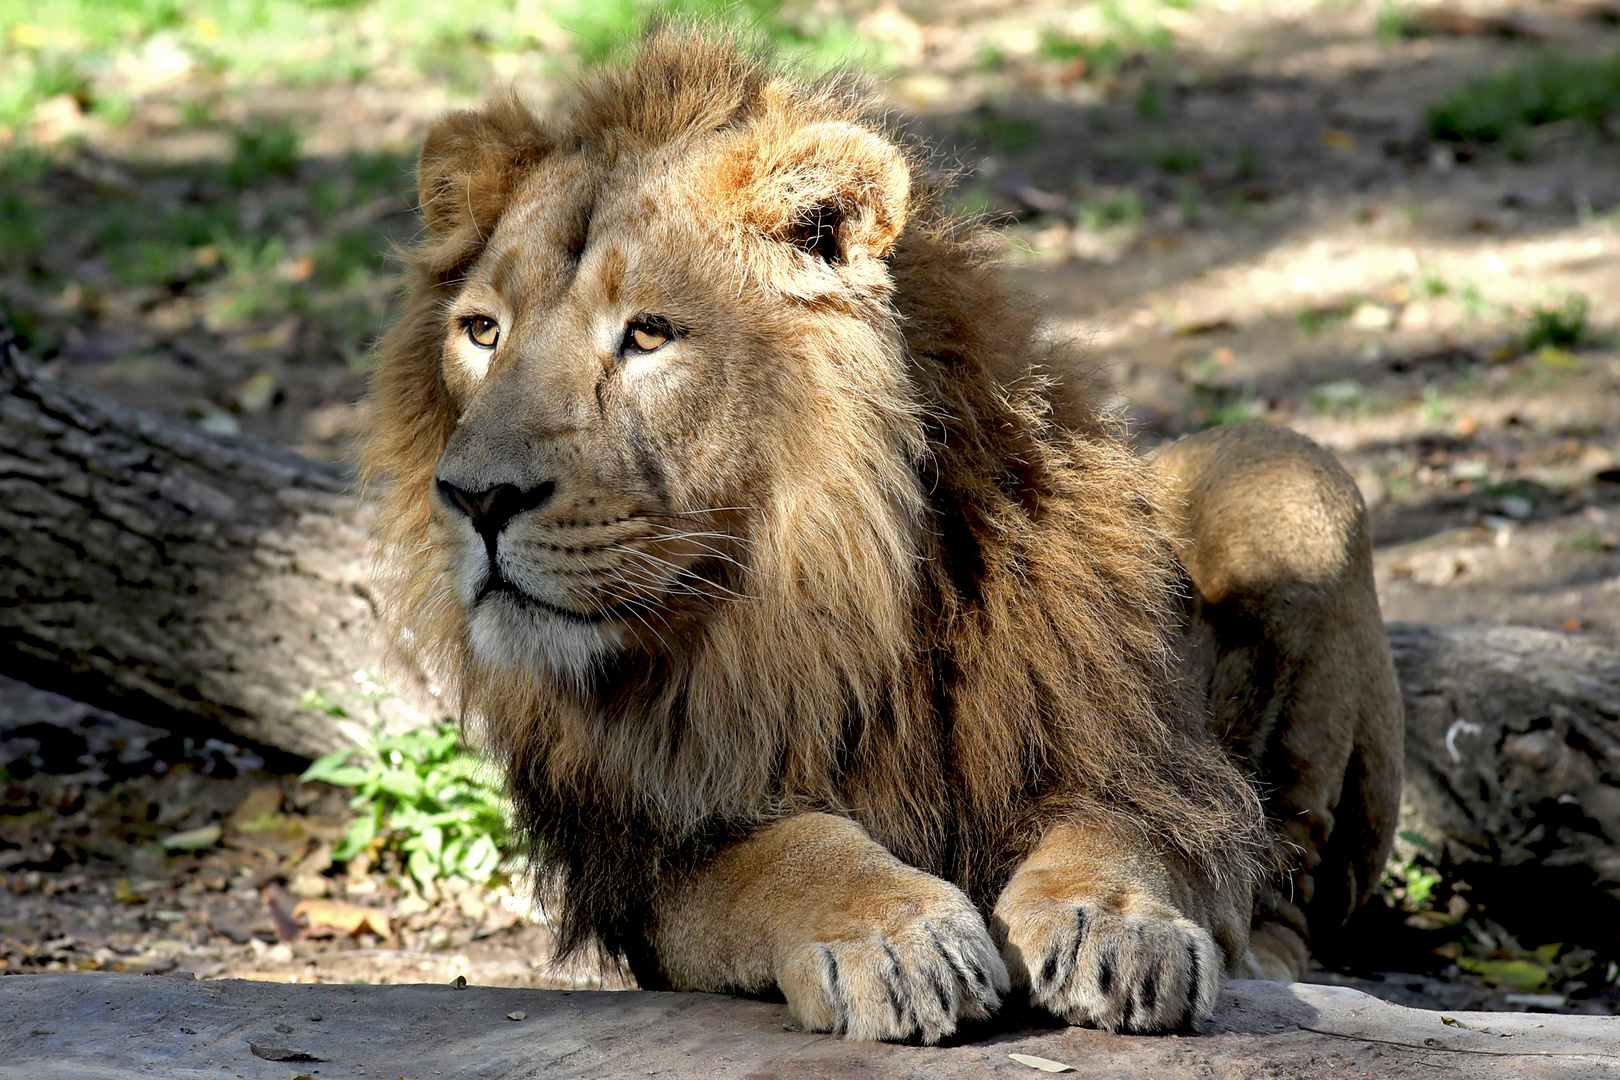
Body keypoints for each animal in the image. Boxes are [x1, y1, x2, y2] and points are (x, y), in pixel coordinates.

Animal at [361, 25, 1399, 1042]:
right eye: (483, 332)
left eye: (649, 334)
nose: (476, 498)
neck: (803, 596)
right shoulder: (650, 863)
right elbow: (788, 852)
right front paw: (896, 937)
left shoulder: (1150, 763)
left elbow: (1122, 832)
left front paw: (1115, 925)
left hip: (1290, 472)